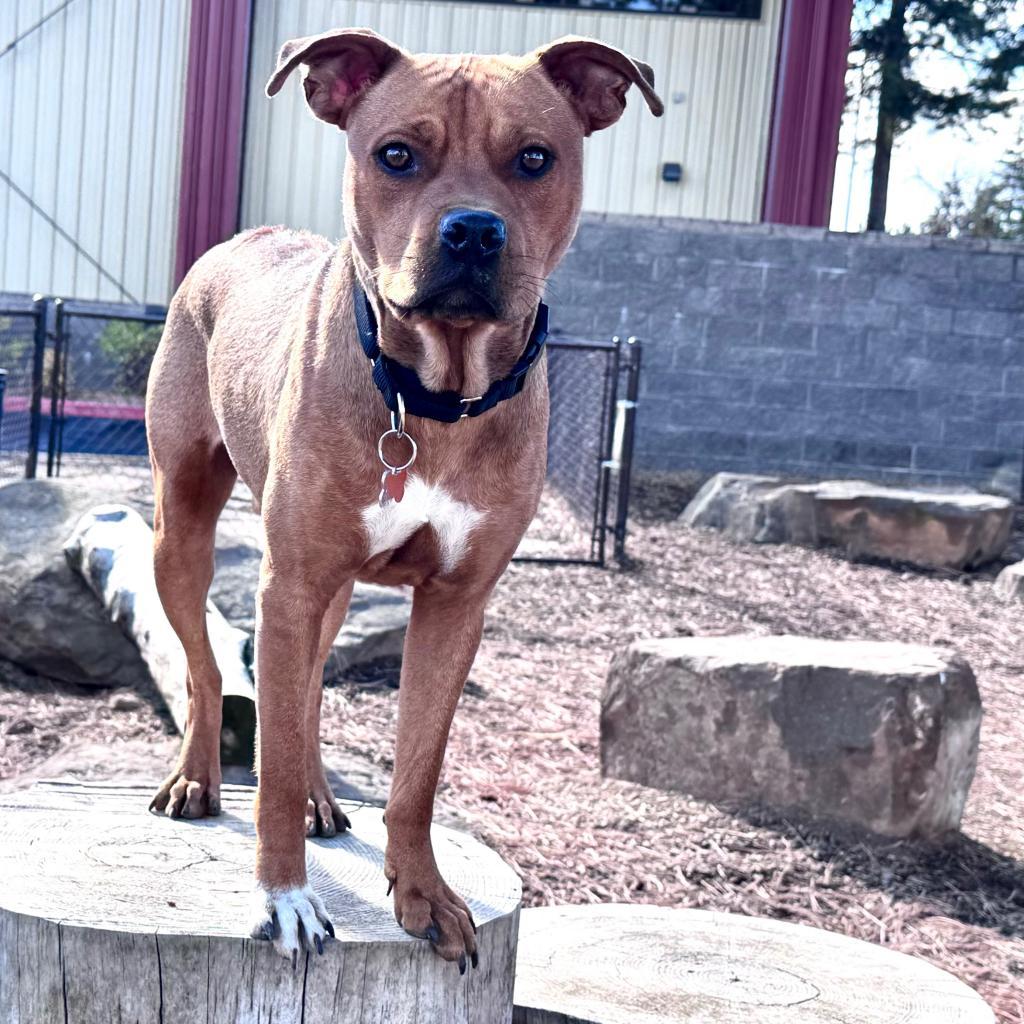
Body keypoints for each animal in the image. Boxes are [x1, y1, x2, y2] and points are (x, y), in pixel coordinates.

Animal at [148, 28, 663, 962]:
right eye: (396, 155)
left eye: (535, 158)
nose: (472, 231)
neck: (432, 395)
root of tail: (242, 238)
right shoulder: (290, 582)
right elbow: (271, 759)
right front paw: (284, 897)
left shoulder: (456, 602)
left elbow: (416, 769)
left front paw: (423, 894)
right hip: (186, 532)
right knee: (207, 672)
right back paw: (197, 779)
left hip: (332, 593)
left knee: (308, 689)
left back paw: (319, 797)